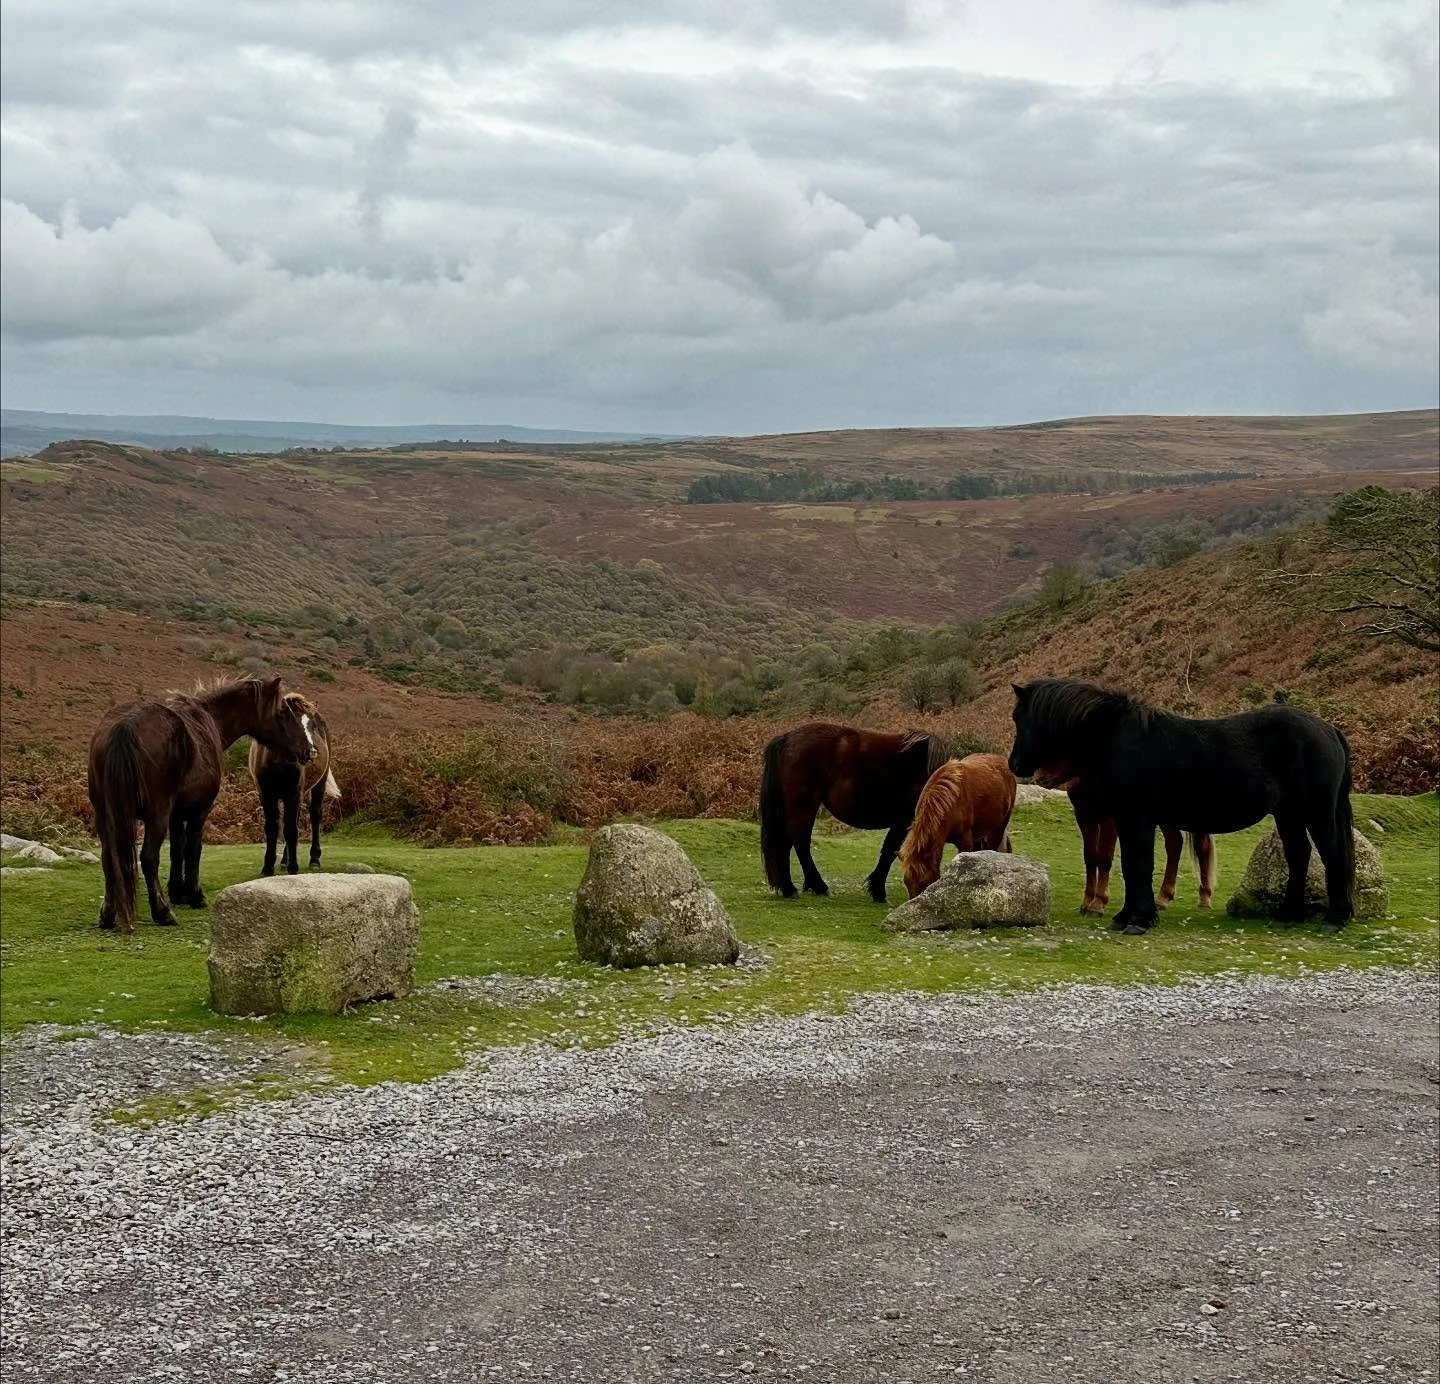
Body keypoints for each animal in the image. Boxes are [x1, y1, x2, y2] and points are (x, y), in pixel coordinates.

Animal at [87, 675, 316, 933]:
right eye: (284, 713)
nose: (309, 750)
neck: (210, 720)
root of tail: (125, 726)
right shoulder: (199, 812)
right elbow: (193, 850)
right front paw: (194, 895)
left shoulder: (176, 816)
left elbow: (177, 850)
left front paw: (178, 892)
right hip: (156, 815)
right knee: (148, 857)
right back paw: (162, 912)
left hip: (106, 815)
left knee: (109, 857)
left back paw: (108, 914)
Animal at [249, 693, 341, 875]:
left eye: (313, 725)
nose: (312, 752)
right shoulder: (266, 794)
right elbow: (273, 827)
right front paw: (268, 867)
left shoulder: (293, 794)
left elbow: (291, 829)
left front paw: (293, 867)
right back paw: (285, 860)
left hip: (317, 785)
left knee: (314, 814)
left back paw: (314, 859)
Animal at [760, 722, 964, 901]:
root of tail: (787, 738)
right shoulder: (903, 820)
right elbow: (889, 851)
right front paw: (878, 891)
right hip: (803, 805)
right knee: (796, 843)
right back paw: (799, 888)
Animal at [1068, 787, 1215, 916]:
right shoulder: (1083, 813)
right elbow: (1090, 857)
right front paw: (1087, 901)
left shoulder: (1110, 816)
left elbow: (1104, 857)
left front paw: (1097, 904)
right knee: (1175, 844)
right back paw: (1163, 898)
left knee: (1202, 846)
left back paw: (1204, 899)